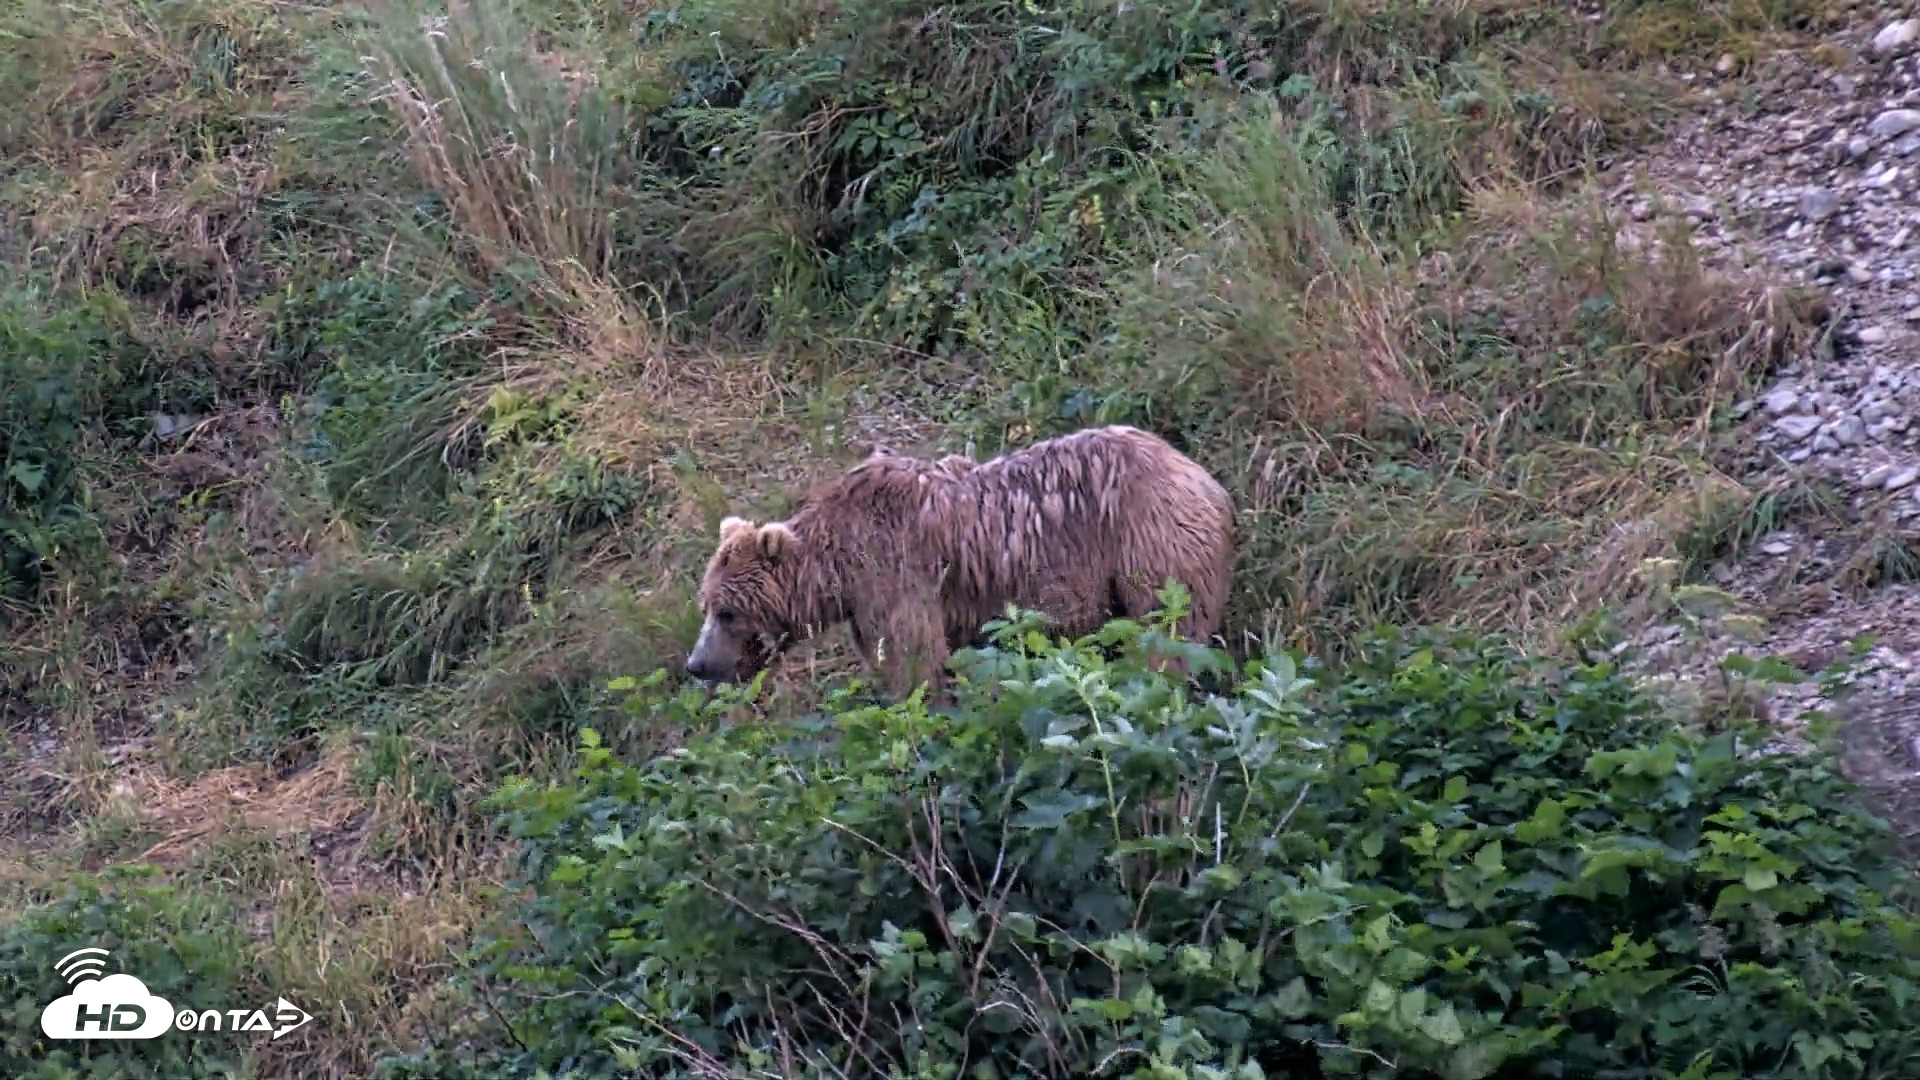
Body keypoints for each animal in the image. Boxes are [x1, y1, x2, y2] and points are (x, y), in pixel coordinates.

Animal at [683, 424, 1236, 700]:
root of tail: (1203, 476)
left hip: (1150, 546)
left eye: (727, 612)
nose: (696, 665)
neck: (837, 567)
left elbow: (912, 660)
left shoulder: (896, 576)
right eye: (705, 604)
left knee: (1166, 634)